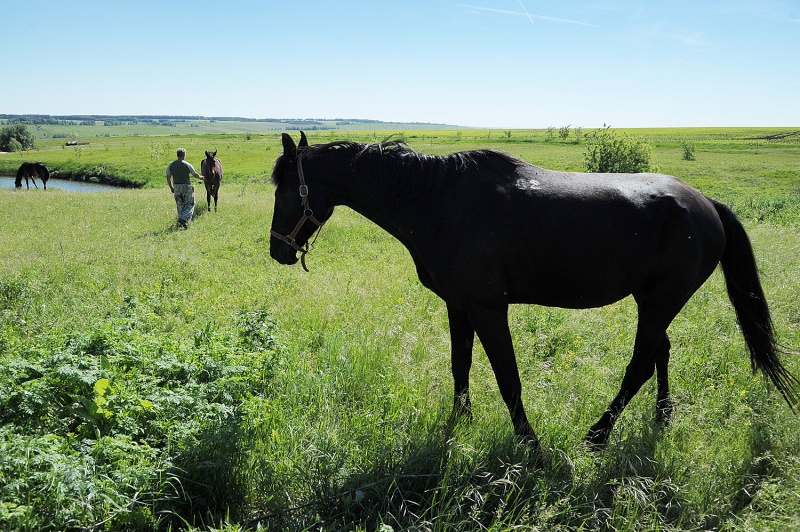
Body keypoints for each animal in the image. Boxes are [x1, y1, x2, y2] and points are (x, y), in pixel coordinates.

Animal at [270, 132, 800, 448]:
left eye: (284, 188)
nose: (278, 250)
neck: (437, 199)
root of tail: (706, 202)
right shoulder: (459, 307)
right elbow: (460, 366)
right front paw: (459, 423)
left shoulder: (488, 309)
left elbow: (508, 378)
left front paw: (530, 443)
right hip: (653, 302)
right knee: (661, 354)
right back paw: (661, 416)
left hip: (658, 303)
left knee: (640, 365)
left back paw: (598, 434)